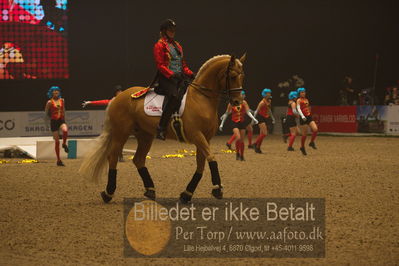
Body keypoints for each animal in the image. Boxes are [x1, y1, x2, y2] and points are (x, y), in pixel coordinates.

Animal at [78, 54, 247, 204]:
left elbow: (201, 165)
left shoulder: (205, 138)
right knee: (113, 158)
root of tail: (118, 98)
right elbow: (211, 158)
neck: (201, 98)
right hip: (121, 133)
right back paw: (108, 193)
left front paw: (186, 195)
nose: (237, 102)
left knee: (138, 159)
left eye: (242, 76)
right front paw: (217, 189)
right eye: (232, 76)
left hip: (145, 135)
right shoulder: (197, 135)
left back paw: (150, 190)